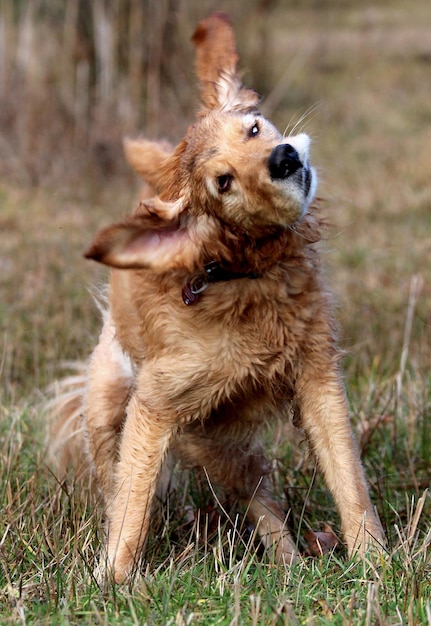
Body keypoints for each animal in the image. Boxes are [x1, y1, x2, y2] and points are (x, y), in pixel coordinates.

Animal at [49, 12, 386, 584]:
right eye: (223, 181)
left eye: (253, 127)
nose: (283, 157)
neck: (242, 277)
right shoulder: (155, 404)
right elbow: (131, 506)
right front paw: (111, 581)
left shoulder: (317, 375)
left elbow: (348, 478)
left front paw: (375, 560)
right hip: (116, 409)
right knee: (116, 482)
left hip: (227, 447)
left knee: (262, 499)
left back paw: (289, 564)